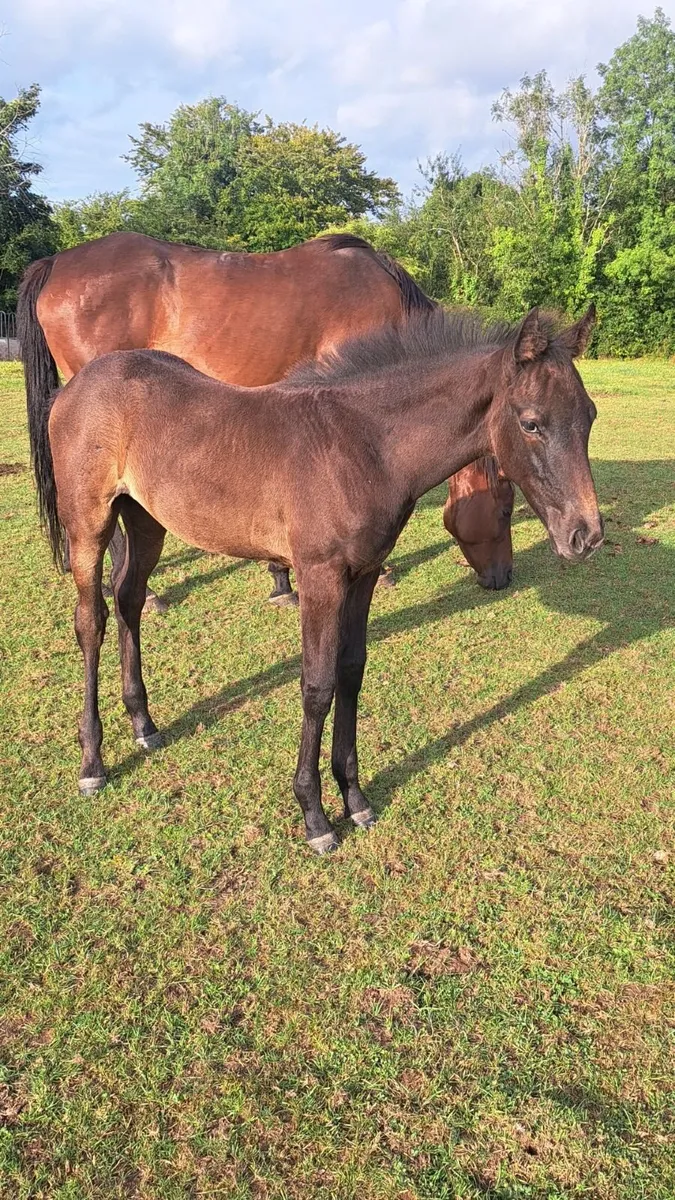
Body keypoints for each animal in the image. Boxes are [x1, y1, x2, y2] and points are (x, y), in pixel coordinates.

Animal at [34, 304, 602, 854]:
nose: (586, 535)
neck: (363, 446)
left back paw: (144, 725)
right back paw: (92, 762)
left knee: (129, 598)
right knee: (91, 619)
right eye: (531, 424)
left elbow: (351, 670)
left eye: (590, 416)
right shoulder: (319, 577)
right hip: (88, 521)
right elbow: (317, 684)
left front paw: (355, 798)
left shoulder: (364, 573)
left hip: (147, 519)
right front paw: (315, 815)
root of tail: (75, 386)